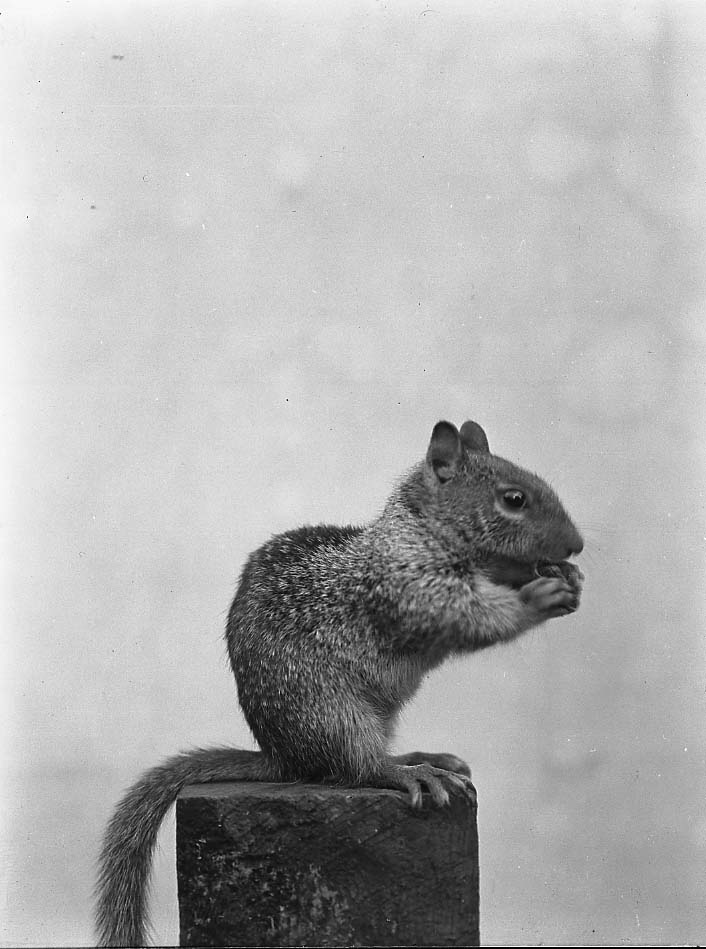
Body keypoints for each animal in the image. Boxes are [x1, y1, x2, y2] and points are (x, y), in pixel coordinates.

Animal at [95, 419, 584, 947]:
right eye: (513, 499)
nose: (576, 545)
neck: (421, 531)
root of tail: (283, 756)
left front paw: (568, 577)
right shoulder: (409, 588)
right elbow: (468, 616)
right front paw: (539, 596)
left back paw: (418, 757)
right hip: (332, 712)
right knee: (357, 766)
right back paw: (409, 772)